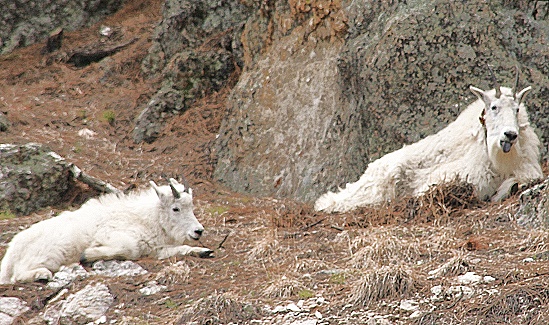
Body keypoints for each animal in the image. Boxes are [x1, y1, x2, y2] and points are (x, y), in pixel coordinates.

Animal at [0, 178, 212, 282]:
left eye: (191, 206)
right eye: (175, 208)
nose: (198, 231)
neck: (147, 219)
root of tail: (10, 254)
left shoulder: (155, 249)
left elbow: (181, 249)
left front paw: (204, 250)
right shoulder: (112, 235)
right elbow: (128, 249)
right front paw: (87, 254)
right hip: (49, 254)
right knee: (19, 274)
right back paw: (42, 274)